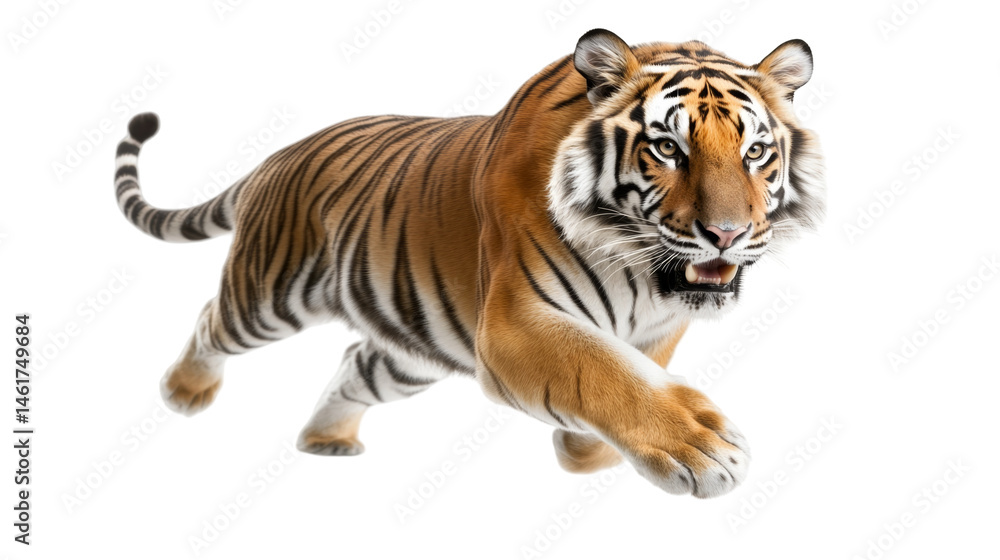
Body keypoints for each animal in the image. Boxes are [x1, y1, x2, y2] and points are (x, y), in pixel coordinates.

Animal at [113, 28, 824, 498]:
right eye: (669, 148)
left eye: (756, 151)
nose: (727, 235)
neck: (642, 276)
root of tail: (277, 155)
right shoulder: (515, 323)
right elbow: (599, 370)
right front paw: (700, 444)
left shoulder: (658, 327)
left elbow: (634, 373)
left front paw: (584, 450)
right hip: (269, 292)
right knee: (212, 320)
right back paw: (185, 392)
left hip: (410, 352)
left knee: (355, 362)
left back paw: (327, 439)